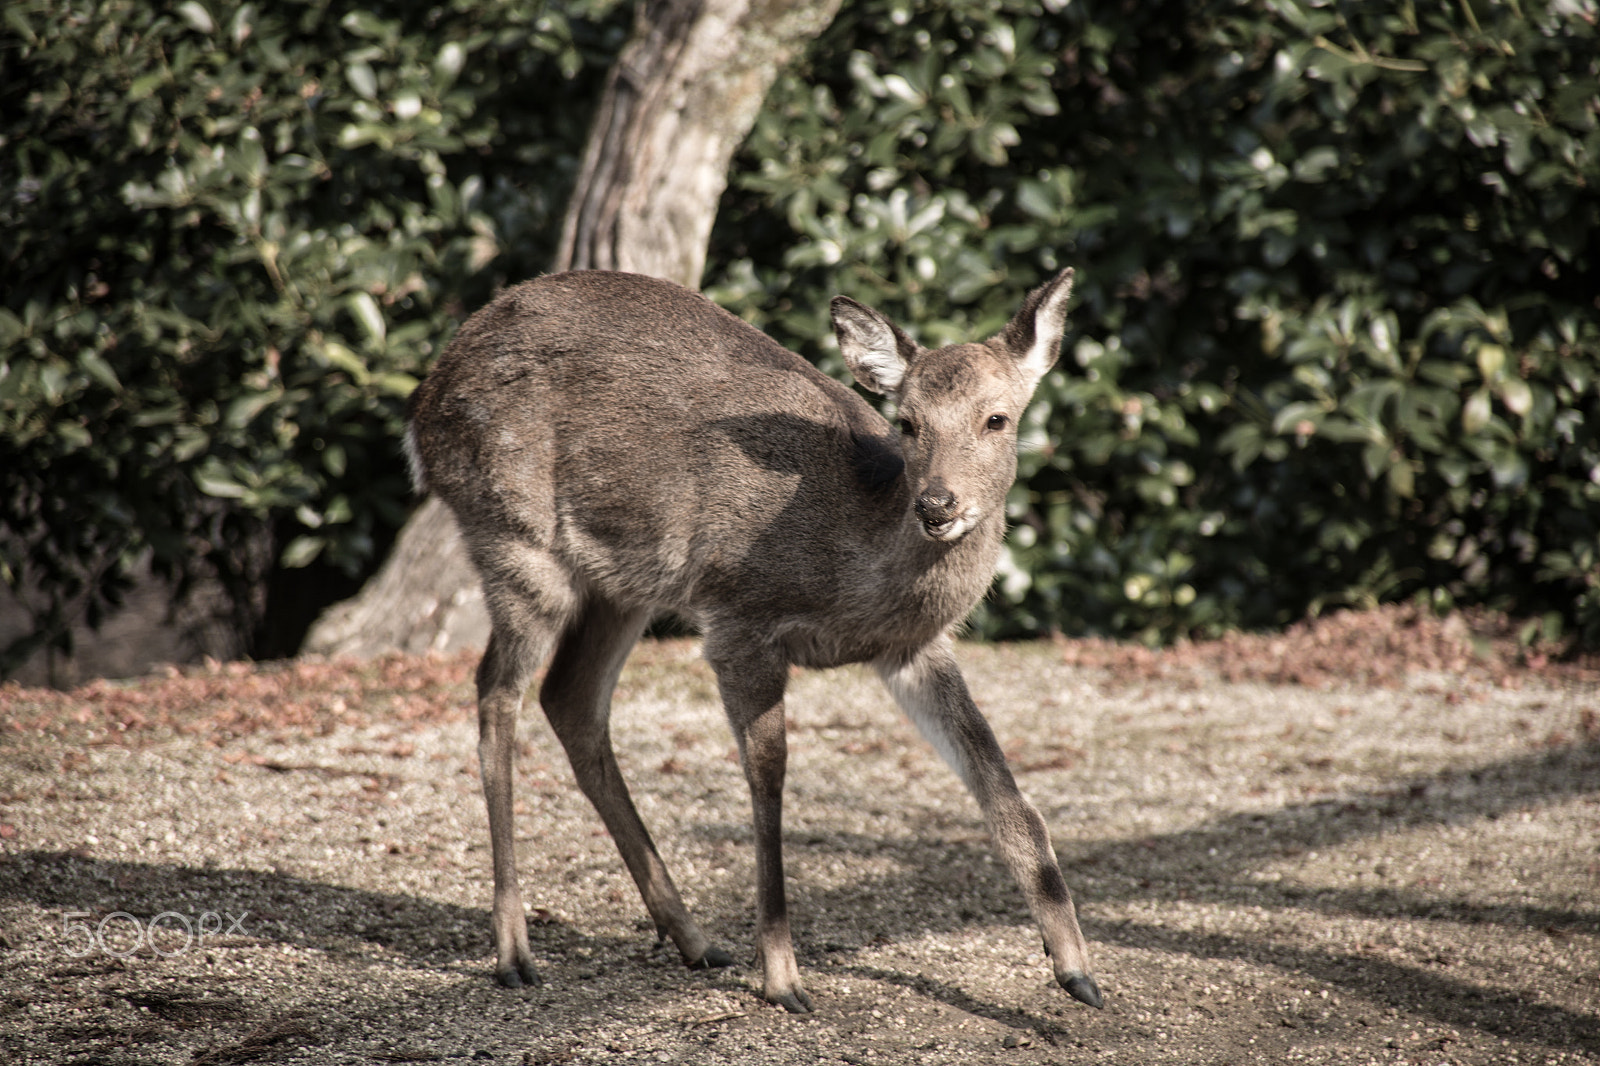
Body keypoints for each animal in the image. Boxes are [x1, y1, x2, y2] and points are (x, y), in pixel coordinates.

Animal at [404, 266, 1102, 1014]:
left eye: (997, 418)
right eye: (908, 422)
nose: (937, 504)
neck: (853, 560)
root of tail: (426, 403)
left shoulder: (911, 648)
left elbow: (1000, 784)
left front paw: (1077, 971)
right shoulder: (740, 619)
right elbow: (768, 783)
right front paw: (783, 978)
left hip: (625, 583)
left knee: (570, 698)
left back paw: (694, 939)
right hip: (514, 536)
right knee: (496, 692)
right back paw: (514, 951)